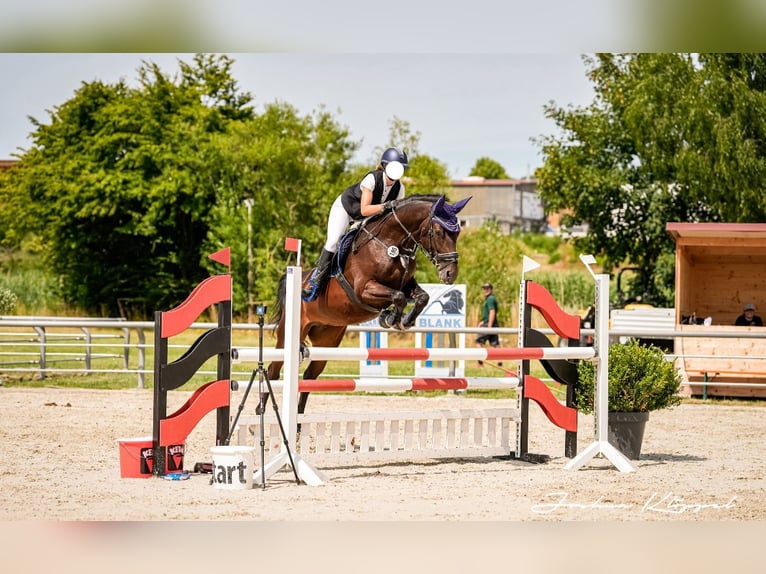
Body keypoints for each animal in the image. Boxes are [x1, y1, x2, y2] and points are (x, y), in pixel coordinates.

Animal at [266, 194, 471, 414]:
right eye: (439, 232)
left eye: (457, 233)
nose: (450, 274)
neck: (391, 244)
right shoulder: (363, 289)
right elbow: (398, 296)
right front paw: (390, 318)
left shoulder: (406, 284)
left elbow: (421, 297)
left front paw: (402, 321)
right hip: (289, 335)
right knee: (272, 371)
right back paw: (261, 414)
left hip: (327, 338)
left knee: (310, 376)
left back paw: (299, 418)